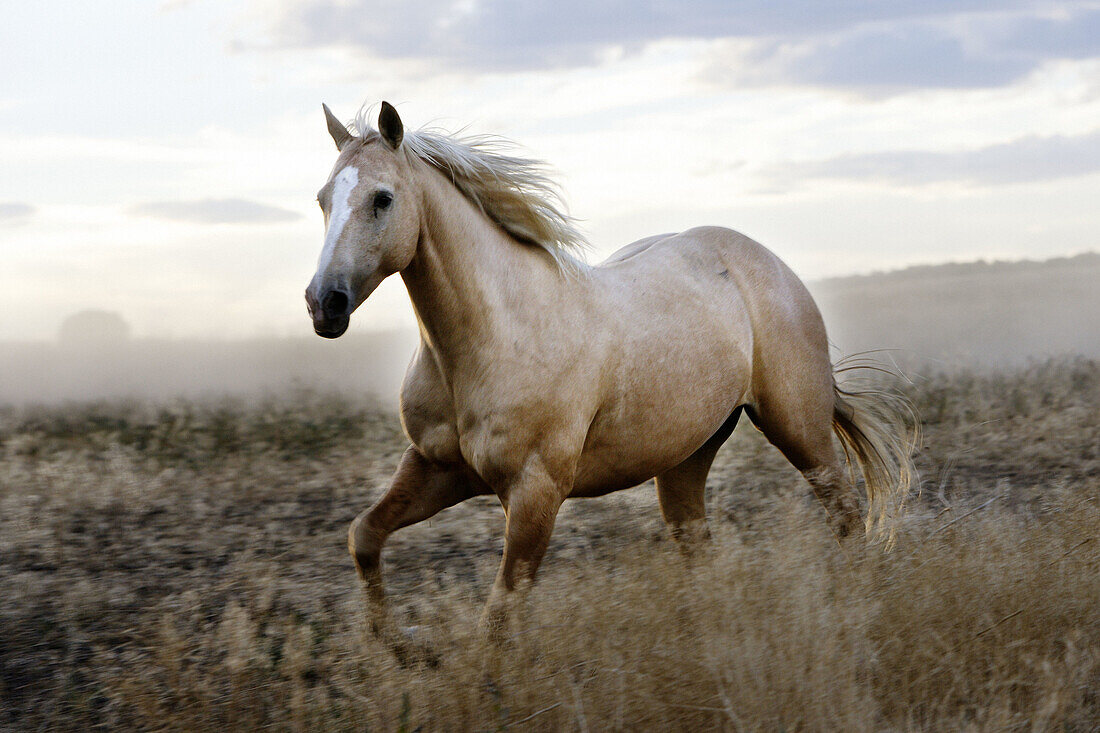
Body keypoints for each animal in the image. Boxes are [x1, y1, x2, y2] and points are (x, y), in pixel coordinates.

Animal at [305, 102, 915, 633]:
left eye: (382, 199)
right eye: (322, 200)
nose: (323, 303)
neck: (492, 336)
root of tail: (770, 264)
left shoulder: (534, 494)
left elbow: (499, 620)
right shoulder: (437, 468)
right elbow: (363, 536)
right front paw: (404, 650)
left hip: (799, 430)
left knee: (846, 518)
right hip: (686, 457)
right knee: (700, 550)